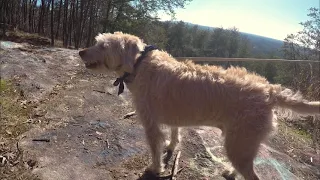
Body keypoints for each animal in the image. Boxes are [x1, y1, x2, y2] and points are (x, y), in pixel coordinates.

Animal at [78, 31, 320, 179]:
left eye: (103, 45)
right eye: (98, 42)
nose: (81, 51)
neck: (139, 64)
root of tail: (270, 91)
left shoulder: (151, 125)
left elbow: (155, 149)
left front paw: (155, 168)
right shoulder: (173, 116)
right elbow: (174, 134)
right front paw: (172, 146)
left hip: (238, 143)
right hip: (242, 145)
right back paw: (230, 172)